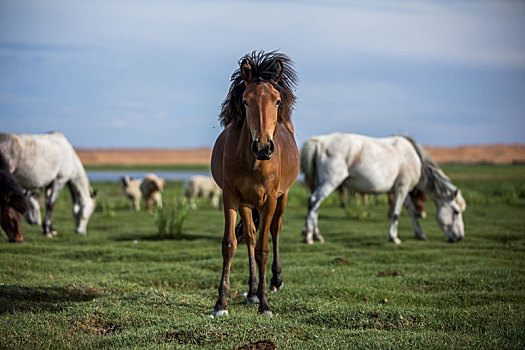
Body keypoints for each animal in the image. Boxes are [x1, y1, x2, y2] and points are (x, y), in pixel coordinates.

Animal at [210, 51, 298, 318]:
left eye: (277, 101)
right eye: (245, 101)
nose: (263, 147)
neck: (254, 163)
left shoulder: (269, 200)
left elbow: (263, 249)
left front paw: (265, 304)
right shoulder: (231, 197)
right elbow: (230, 244)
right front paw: (221, 303)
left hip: (282, 197)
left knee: (274, 230)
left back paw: (275, 281)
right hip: (247, 203)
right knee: (249, 235)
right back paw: (251, 291)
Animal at [300, 133, 464, 245]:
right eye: (456, 212)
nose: (460, 237)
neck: (413, 157)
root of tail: (320, 141)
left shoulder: (403, 191)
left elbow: (412, 212)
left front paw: (420, 234)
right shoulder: (402, 189)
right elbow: (396, 213)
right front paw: (394, 237)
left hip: (320, 182)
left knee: (315, 205)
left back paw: (316, 235)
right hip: (331, 182)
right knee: (314, 201)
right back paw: (309, 237)